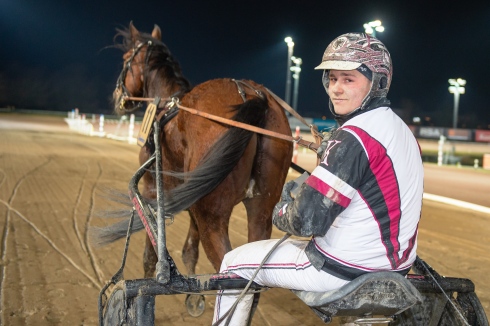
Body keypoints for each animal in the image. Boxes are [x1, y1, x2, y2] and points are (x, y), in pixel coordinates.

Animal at [94, 21, 292, 278]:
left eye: (126, 58)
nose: (118, 95)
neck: (167, 106)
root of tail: (252, 95)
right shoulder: (190, 195)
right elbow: (190, 249)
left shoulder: (151, 190)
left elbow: (150, 256)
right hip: (261, 211)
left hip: (213, 218)